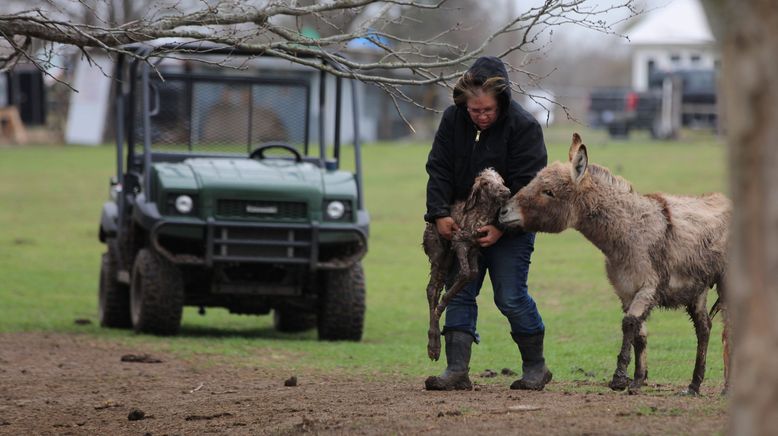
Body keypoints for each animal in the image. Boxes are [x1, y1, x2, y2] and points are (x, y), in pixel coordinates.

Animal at [422, 169, 512, 360]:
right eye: (485, 183)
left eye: (501, 180)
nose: (506, 192)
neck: (480, 215)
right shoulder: (459, 241)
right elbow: (464, 273)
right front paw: (442, 305)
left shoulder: (474, 248)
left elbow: (472, 273)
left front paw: (444, 302)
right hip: (438, 249)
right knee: (431, 289)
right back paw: (433, 343)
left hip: (448, 257)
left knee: (435, 287)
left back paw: (435, 343)